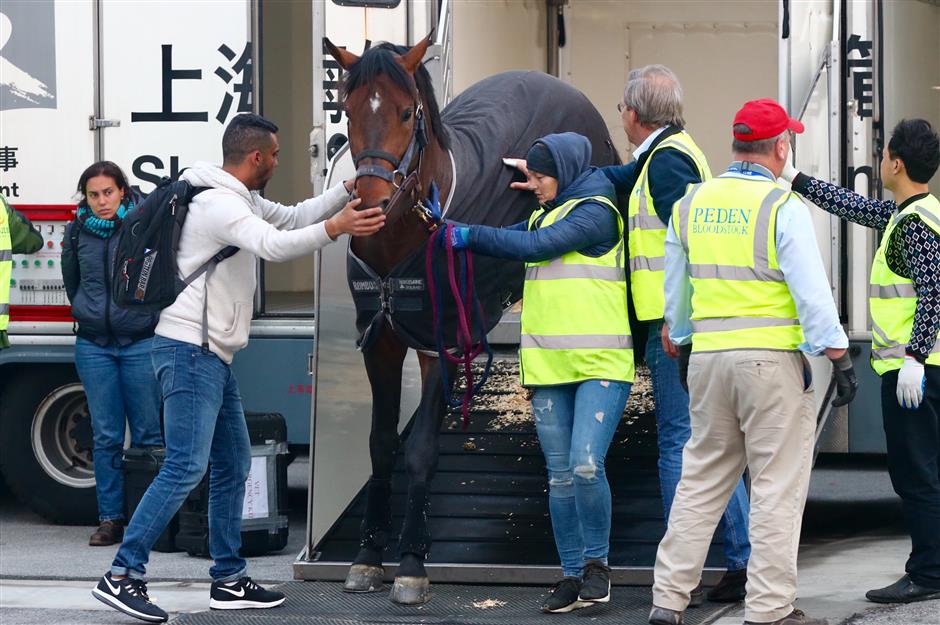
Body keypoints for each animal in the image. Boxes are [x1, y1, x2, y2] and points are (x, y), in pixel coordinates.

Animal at [326, 34, 620, 604]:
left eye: (406, 111)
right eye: (348, 110)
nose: (370, 202)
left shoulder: (439, 341)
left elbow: (419, 450)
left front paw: (412, 566)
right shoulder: (381, 341)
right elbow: (380, 445)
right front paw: (368, 558)